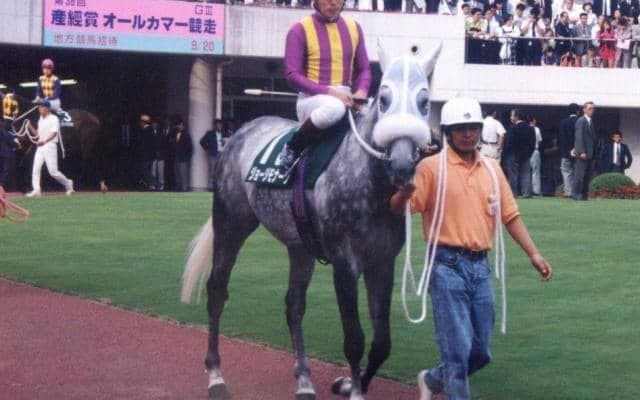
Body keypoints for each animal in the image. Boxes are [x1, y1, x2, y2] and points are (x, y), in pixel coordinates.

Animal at [181, 43, 442, 400]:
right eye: (384, 99)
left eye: (425, 102)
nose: (401, 165)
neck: (368, 182)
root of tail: (242, 131)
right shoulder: (345, 262)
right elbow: (355, 339)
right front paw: (354, 389)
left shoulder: (383, 261)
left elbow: (382, 342)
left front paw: (348, 384)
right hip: (230, 222)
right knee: (217, 290)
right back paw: (216, 376)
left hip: (299, 246)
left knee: (294, 305)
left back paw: (304, 379)